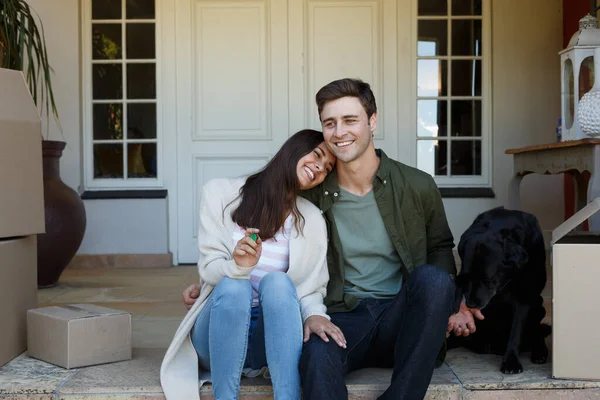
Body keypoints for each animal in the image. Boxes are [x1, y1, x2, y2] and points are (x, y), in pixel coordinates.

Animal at [448, 208, 552, 374]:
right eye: (466, 278)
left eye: (487, 280)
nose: (470, 304)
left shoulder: (525, 296)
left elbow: (516, 331)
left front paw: (511, 361)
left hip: (538, 307)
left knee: (538, 333)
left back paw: (539, 352)